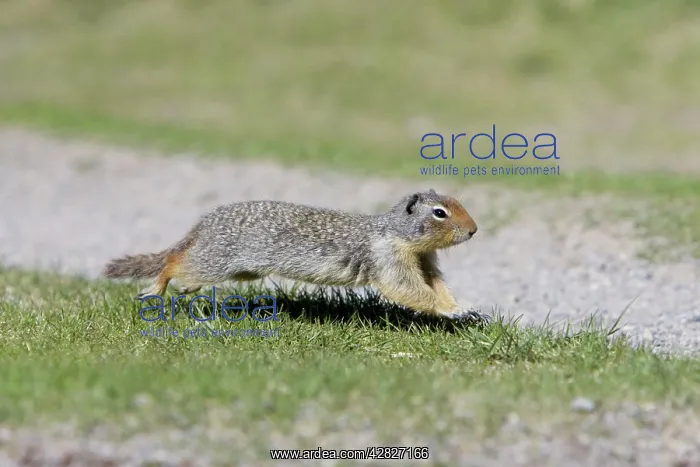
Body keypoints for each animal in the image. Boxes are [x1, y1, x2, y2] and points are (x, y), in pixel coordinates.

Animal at [102, 189, 488, 323]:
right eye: (440, 213)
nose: (474, 230)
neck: (403, 235)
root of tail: (205, 222)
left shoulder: (425, 261)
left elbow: (436, 285)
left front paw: (463, 308)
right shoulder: (389, 258)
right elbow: (408, 289)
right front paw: (452, 311)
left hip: (239, 269)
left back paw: (183, 290)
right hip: (217, 260)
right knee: (174, 262)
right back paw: (156, 288)